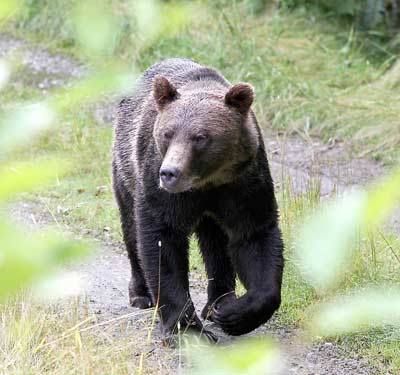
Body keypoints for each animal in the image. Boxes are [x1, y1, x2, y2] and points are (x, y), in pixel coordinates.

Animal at [111, 58, 282, 344]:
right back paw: (141, 294)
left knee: (216, 243)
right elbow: (162, 243)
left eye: (200, 137)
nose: (169, 173)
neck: (207, 181)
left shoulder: (244, 184)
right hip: (126, 168)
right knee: (131, 228)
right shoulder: (160, 189)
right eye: (167, 133)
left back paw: (219, 302)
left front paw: (235, 316)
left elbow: (255, 237)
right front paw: (187, 329)